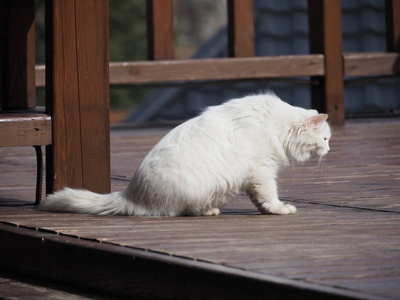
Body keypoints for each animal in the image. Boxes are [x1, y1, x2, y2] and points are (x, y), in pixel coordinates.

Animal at [41, 93, 332, 216]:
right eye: (326, 139)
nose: (329, 150)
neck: (277, 125)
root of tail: (131, 194)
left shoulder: (256, 175)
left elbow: (260, 199)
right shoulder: (261, 171)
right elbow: (269, 195)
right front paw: (279, 209)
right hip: (203, 185)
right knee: (184, 210)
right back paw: (208, 212)